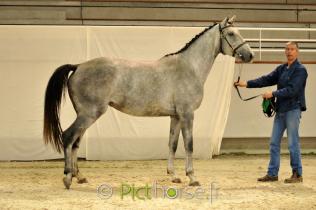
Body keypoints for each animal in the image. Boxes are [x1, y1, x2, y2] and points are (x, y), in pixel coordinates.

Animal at [43, 16, 254, 189]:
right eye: (231, 33)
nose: (250, 55)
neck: (188, 67)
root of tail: (78, 66)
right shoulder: (187, 114)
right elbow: (189, 145)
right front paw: (192, 177)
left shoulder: (175, 116)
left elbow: (172, 144)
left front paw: (173, 176)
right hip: (89, 114)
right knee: (68, 136)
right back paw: (67, 177)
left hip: (86, 115)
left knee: (75, 142)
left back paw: (79, 176)